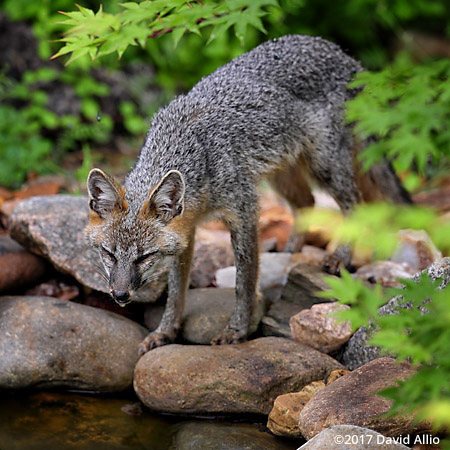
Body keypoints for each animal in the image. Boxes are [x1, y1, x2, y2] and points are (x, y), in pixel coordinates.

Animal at [85, 33, 412, 354]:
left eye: (145, 256)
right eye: (109, 254)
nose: (120, 295)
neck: (194, 152)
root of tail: (338, 51)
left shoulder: (244, 212)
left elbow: (245, 279)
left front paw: (238, 329)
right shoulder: (187, 232)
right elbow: (177, 290)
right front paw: (165, 331)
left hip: (324, 166)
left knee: (354, 204)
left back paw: (341, 256)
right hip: (281, 173)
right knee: (306, 203)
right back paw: (290, 251)